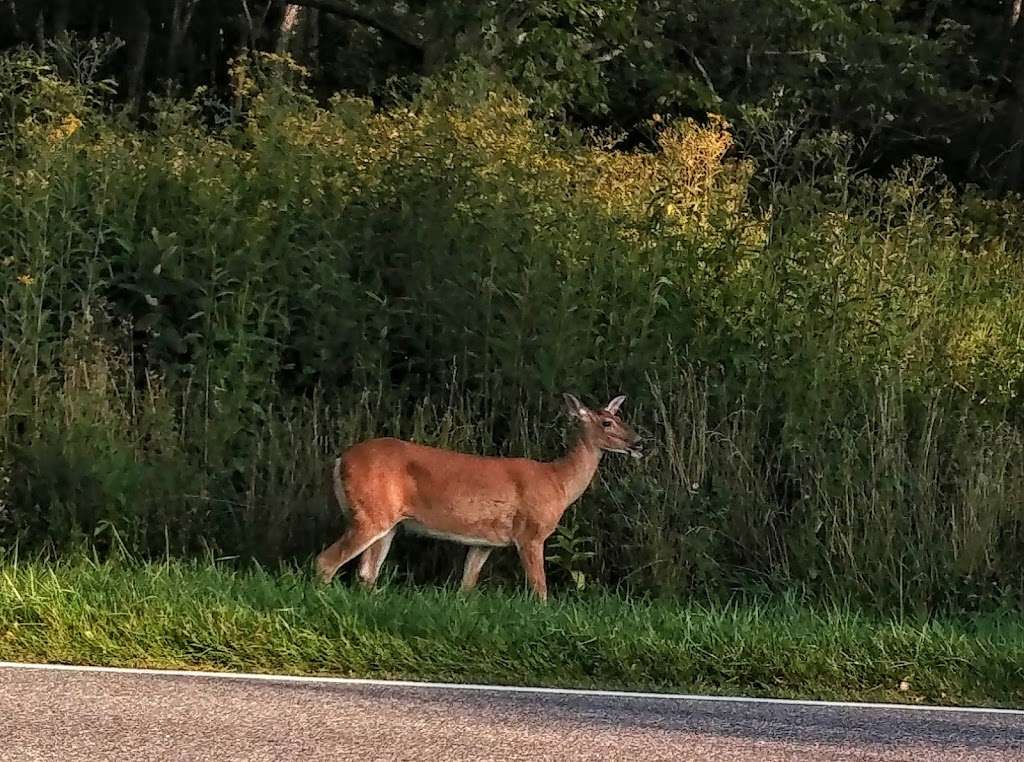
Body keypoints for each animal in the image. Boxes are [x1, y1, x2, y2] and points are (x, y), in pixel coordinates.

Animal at [315, 393, 643, 602]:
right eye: (607, 423)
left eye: (619, 416)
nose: (640, 442)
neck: (557, 482)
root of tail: (340, 461)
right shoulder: (531, 533)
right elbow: (540, 589)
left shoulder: (485, 541)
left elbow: (467, 585)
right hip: (370, 513)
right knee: (326, 561)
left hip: (387, 522)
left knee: (367, 572)